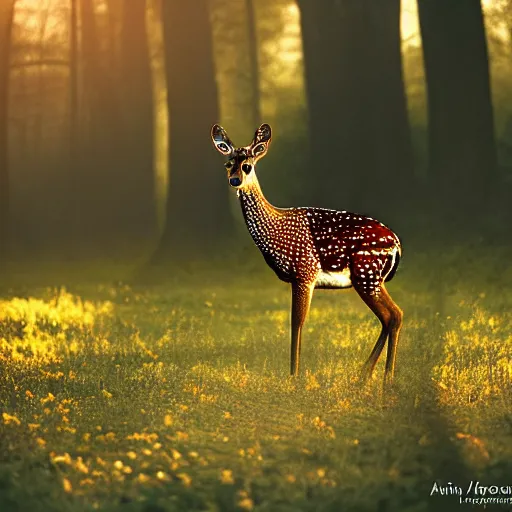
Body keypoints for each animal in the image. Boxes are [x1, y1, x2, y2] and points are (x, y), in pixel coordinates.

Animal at [210, 123, 402, 380]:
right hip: (373, 278)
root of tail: (397, 244)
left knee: (392, 315)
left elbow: (297, 323)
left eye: (247, 165)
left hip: (367, 274)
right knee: (393, 316)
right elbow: (296, 322)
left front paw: (294, 377)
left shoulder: (304, 271)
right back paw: (370, 376)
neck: (275, 228)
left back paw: (381, 378)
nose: (234, 180)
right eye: (228, 163)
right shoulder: (299, 278)